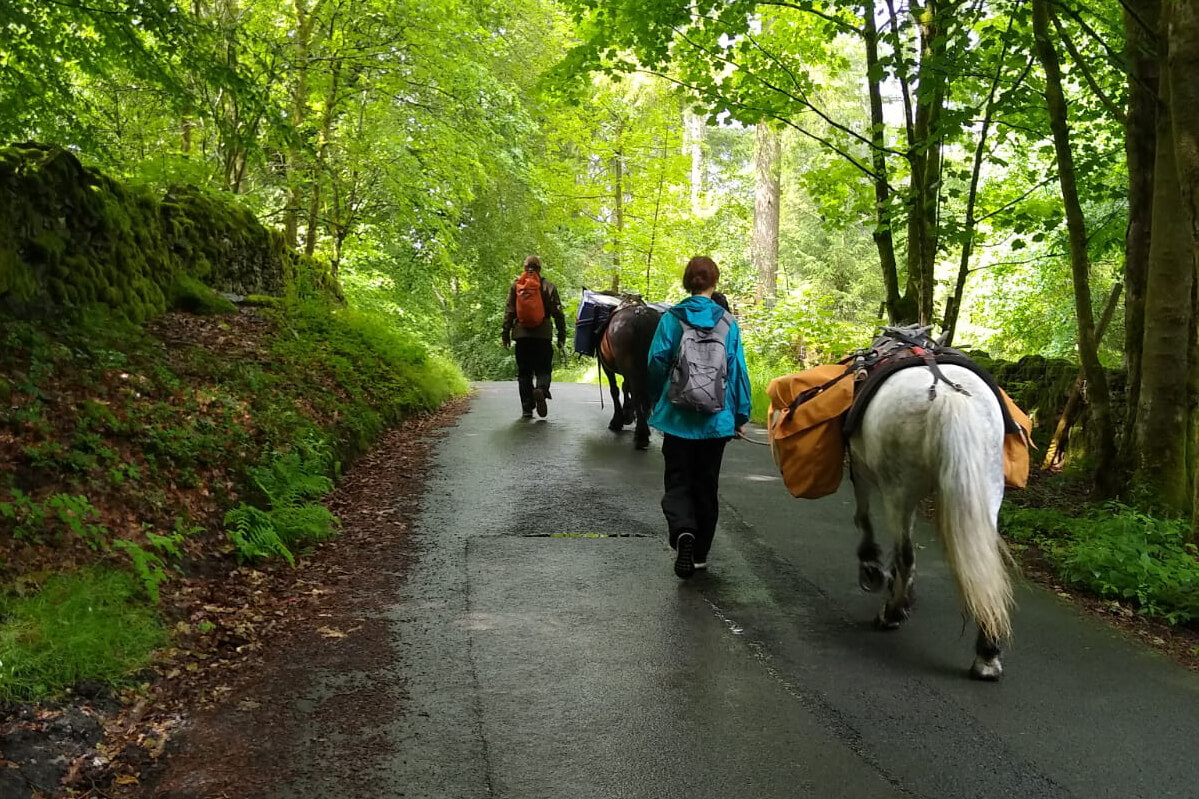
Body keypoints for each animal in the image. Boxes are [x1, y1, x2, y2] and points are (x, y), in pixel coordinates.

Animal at [599, 298, 666, 448]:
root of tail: (640, 316)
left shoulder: (607, 366)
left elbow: (615, 389)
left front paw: (619, 419)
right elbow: (626, 387)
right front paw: (627, 414)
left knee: (637, 394)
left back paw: (641, 434)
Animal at [853, 362, 1011, 676]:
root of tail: (947, 395)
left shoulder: (857, 463)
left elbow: (863, 514)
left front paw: (872, 568)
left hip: (898, 489)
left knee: (905, 554)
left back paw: (891, 614)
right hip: (988, 487)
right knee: (986, 568)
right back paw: (987, 655)